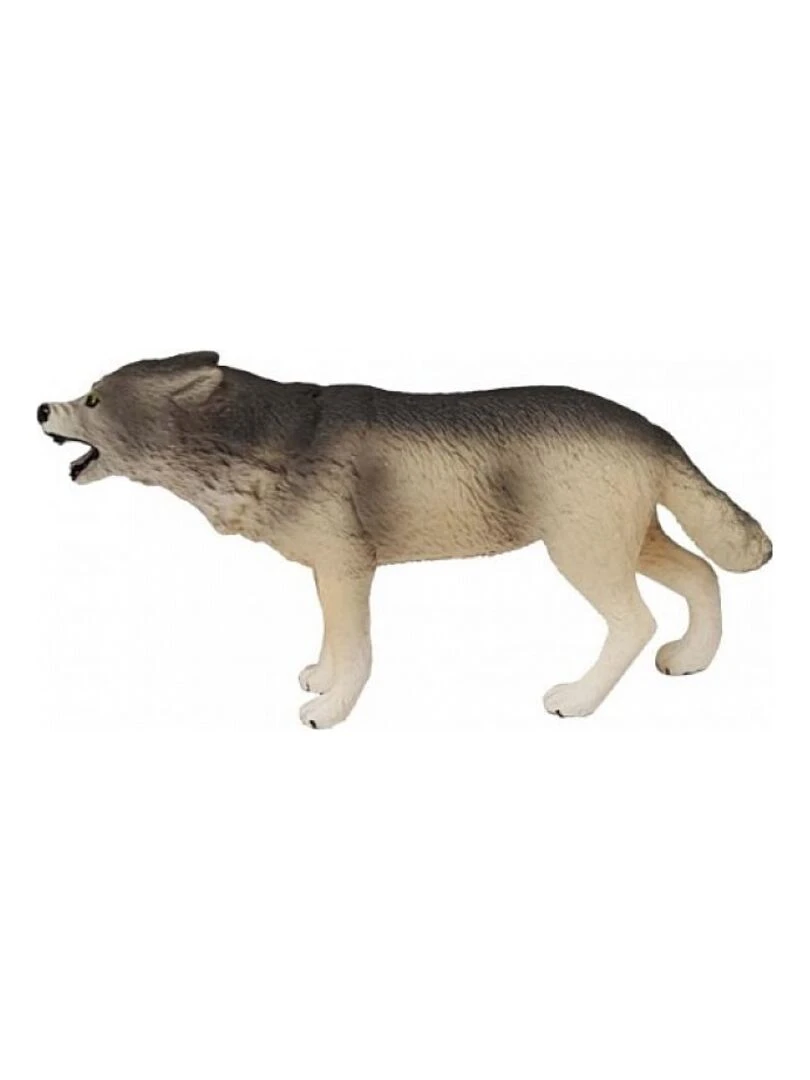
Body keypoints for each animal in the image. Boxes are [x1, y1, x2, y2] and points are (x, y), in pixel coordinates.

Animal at [38, 350, 771, 727]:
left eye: (95, 400)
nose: (41, 406)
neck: (257, 442)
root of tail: (647, 425)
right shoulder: (329, 571)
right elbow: (334, 641)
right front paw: (322, 677)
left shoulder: (349, 569)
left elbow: (358, 651)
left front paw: (332, 709)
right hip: (626, 541)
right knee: (703, 575)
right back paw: (694, 659)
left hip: (583, 553)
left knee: (635, 621)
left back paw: (579, 699)